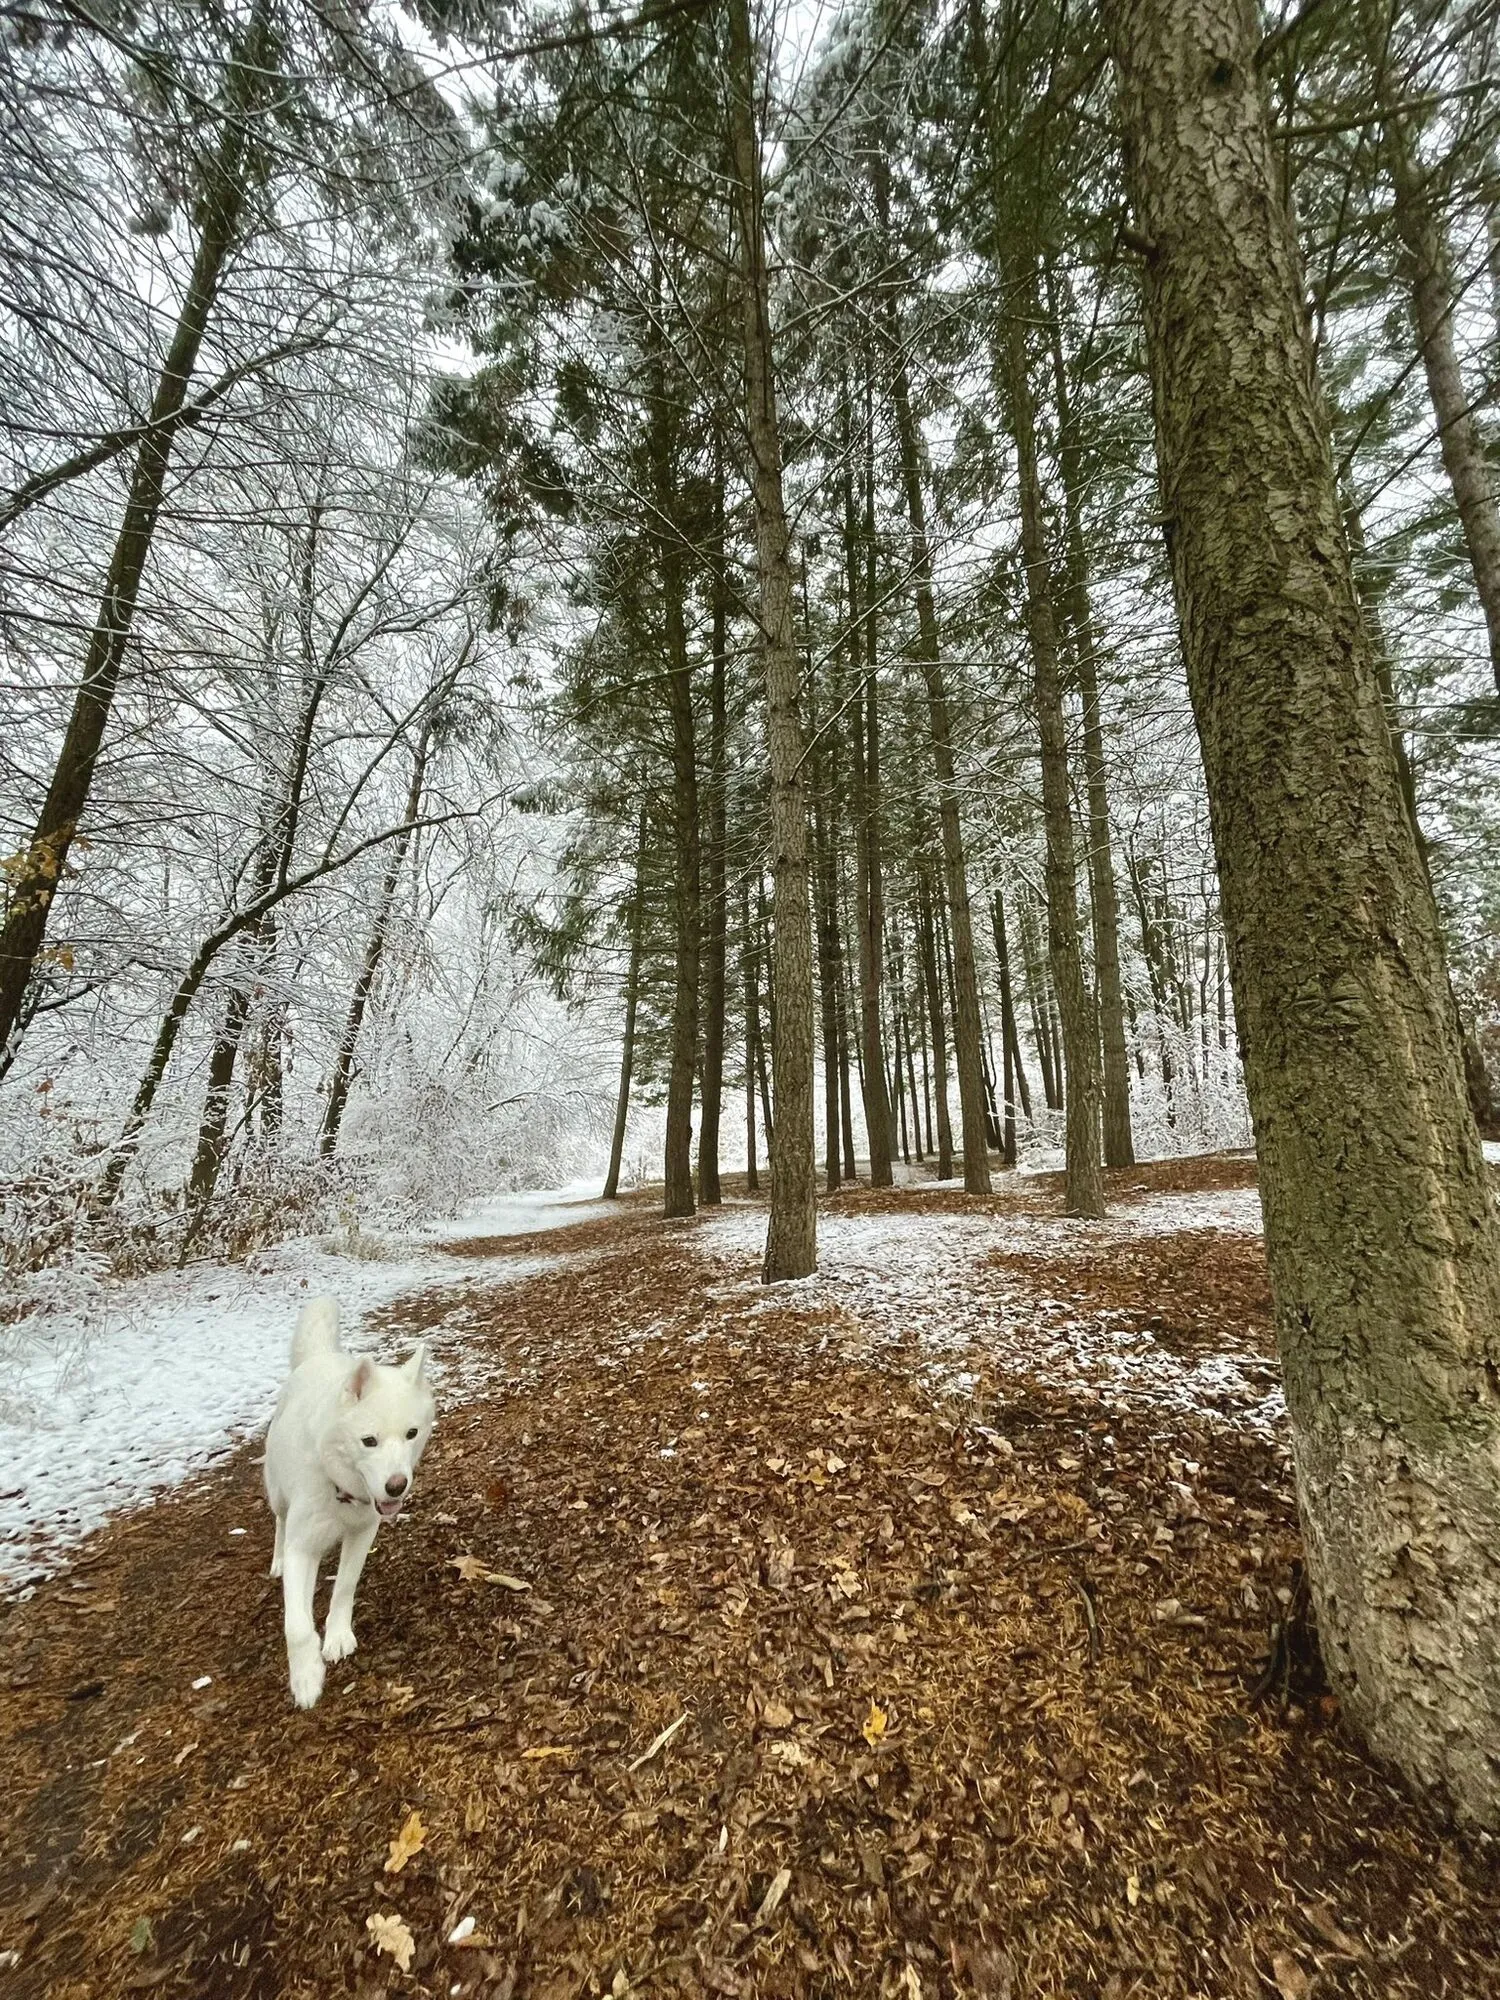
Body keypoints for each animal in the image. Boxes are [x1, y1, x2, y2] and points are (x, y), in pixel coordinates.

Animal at [264, 1304, 434, 1712]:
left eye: (411, 1434)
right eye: (368, 1441)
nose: (396, 1486)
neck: (338, 1485)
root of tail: (319, 1357)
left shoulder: (362, 1532)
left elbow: (344, 1586)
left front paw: (338, 1636)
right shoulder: (303, 1547)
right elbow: (296, 1626)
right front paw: (306, 1678)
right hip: (277, 1492)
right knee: (278, 1521)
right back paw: (276, 1560)